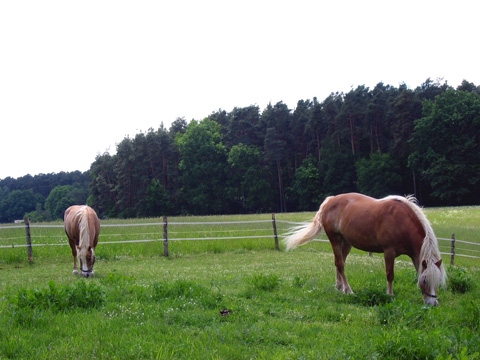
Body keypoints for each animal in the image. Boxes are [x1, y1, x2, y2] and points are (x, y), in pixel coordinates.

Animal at [284, 193, 446, 306]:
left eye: (438, 280)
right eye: (425, 281)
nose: (433, 303)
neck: (402, 222)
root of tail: (330, 201)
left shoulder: (414, 255)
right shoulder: (389, 252)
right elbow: (390, 275)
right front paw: (390, 295)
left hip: (346, 243)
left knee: (338, 263)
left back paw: (340, 287)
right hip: (335, 239)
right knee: (340, 265)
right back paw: (348, 290)